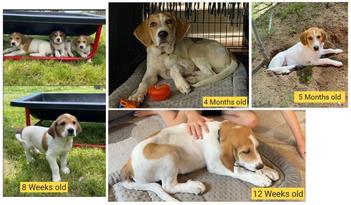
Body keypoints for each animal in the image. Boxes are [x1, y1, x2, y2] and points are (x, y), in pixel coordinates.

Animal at [121, 121, 280, 201]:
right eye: (245, 151)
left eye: (257, 148)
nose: (260, 166)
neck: (218, 132)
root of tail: (128, 166)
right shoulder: (217, 165)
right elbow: (240, 170)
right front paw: (258, 178)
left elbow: (246, 165)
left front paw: (267, 170)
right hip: (168, 152)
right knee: (168, 186)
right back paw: (193, 187)